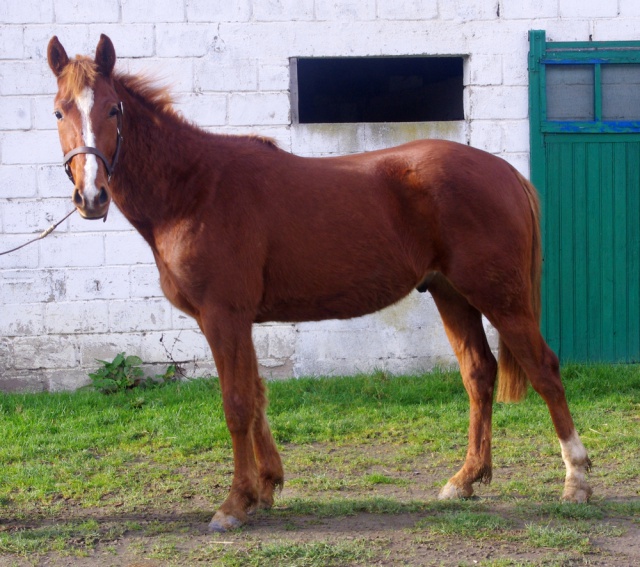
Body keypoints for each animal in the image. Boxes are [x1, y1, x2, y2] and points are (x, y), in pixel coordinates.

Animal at [47, 35, 592, 532]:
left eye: (113, 108)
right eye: (58, 112)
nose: (91, 195)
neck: (194, 188)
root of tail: (505, 172)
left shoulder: (223, 316)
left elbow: (236, 404)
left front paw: (234, 503)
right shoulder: (239, 321)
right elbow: (256, 396)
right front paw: (265, 487)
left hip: (501, 298)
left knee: (544, 370)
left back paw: (577, 481)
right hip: (450, 293)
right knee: (479, 374)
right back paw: (465, 479)